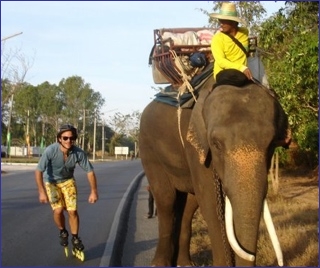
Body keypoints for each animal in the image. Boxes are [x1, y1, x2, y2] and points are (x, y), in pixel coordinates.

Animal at [139, 75, 290, 266]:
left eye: (271, 145)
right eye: (216, 144)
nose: (251, 255)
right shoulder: (195, 147)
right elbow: (211, 207)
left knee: (188, 205)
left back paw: (184, 264)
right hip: (148, 147)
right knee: (166, 199)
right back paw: (160, 264)